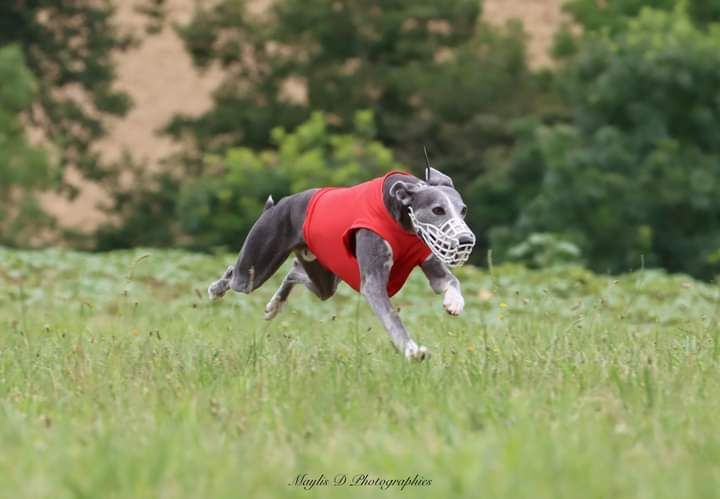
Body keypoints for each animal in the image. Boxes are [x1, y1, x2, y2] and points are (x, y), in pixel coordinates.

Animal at [208, 158, 476, 362]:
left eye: (463, 210)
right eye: (438, 210)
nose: (464, 240)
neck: (399, 216)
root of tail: (276, 206)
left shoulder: (428, 258)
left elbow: (449, 281)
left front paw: (454, 303)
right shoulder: (372, 281)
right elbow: (391, 316)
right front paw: (412, 350)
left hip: (323, 277)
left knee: (296, 271)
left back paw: (274, 304)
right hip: (255, 264)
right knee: (235, 274)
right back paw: (216, 289)